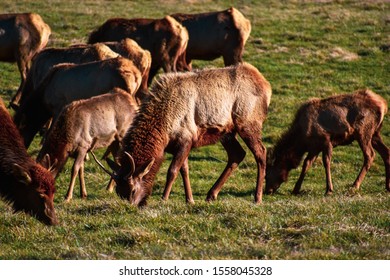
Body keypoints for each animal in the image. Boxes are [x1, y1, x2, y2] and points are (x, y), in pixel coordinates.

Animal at [94, 64, 272, 208]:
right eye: (119, 191)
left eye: (132, 190)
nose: (133, 206)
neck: (164, 128)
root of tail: (267, 86)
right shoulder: (179, 145)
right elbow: (184, 169)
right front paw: (190, 200)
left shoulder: (186, 138)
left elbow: (172, 171)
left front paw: (164, 198)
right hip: (226, 132)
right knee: (237, 154)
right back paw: (211, 194)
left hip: (247, 122)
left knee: (261, 152)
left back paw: (257, 198)